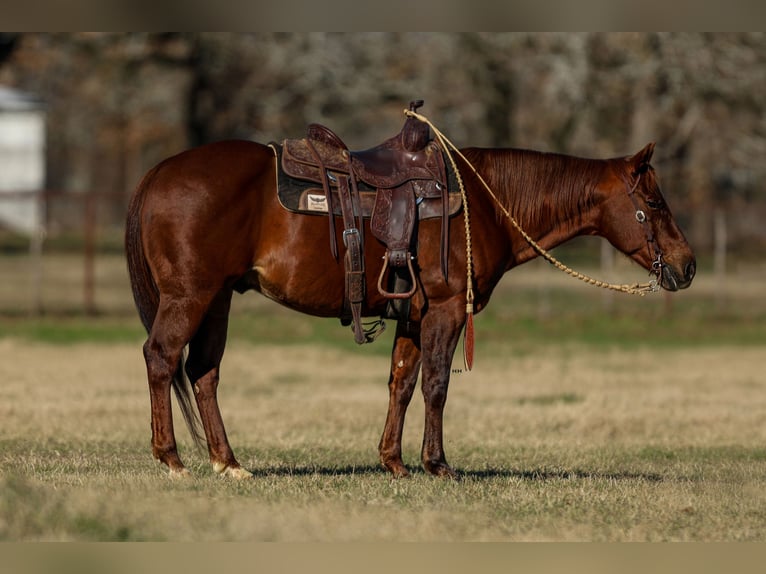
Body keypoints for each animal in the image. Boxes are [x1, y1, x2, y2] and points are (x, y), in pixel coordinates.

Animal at [124, 128, 696, 480]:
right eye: (654, 202)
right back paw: (171, 458)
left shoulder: (413, 316)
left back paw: (229, 462)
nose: (687, 265)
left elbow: (401, 383)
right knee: (161, 358)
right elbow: (436, 385)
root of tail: (158, 172)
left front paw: (393, 461)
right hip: (190, 295)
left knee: (203, 372)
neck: (484, 203)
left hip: (218, 298)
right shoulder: (445, 308)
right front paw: (437, 464)